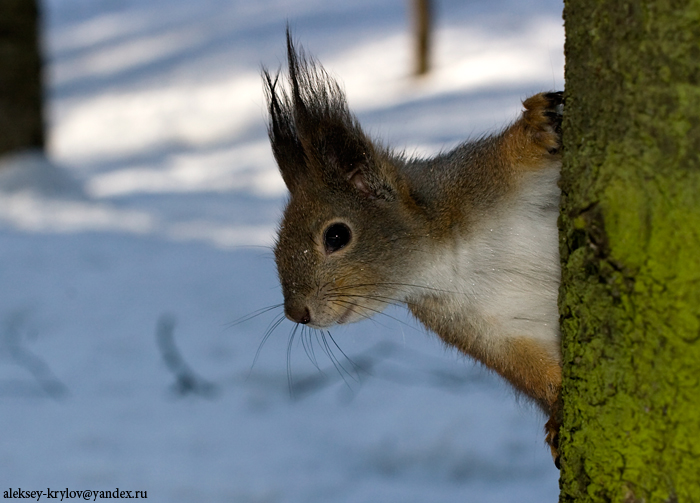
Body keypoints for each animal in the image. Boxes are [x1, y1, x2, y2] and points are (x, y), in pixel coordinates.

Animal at [262, 31, 564, 468]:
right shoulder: (479, 325)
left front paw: (537, 126)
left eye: (336, 237)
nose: (296, 313)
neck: (443, 260)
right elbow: (530, 368)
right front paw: (557, 412)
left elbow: (517, 155)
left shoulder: (476, 177)